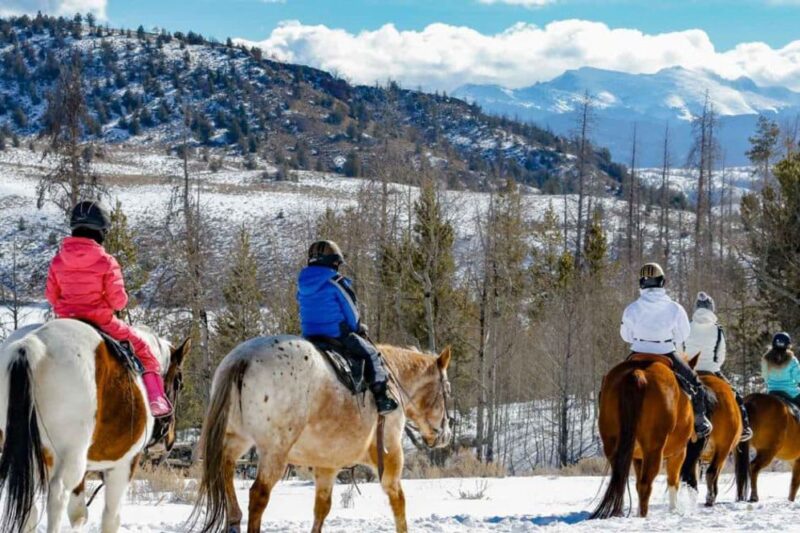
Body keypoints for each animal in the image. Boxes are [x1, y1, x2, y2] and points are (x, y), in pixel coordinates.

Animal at [0, 318, 190, 532]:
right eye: (179, 384)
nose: (169, 438)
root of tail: (31, 344)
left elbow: (78, 514)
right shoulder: (126, 462)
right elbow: (111, 518)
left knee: (30, 508)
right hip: (72, 454)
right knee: (57, 496)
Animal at [188, 336, 450, 532]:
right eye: (446, 390)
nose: (444, 434)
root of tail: (243, 358)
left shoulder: (327, 466)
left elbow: (321, 508)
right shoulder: (391, 455)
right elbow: (398, 500)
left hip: (236, 440)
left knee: (224, 471)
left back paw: (234, 519)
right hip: (274, 453)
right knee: (258, 495)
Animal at [592, 356, 696, 516]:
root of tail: (638, 374)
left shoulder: (637, 457)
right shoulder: (678, 453)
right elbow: (673, 482)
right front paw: (673, 509)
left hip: (612, 444)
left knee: (620, 478)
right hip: (654, 449)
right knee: (645, 484)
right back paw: (642, 515)